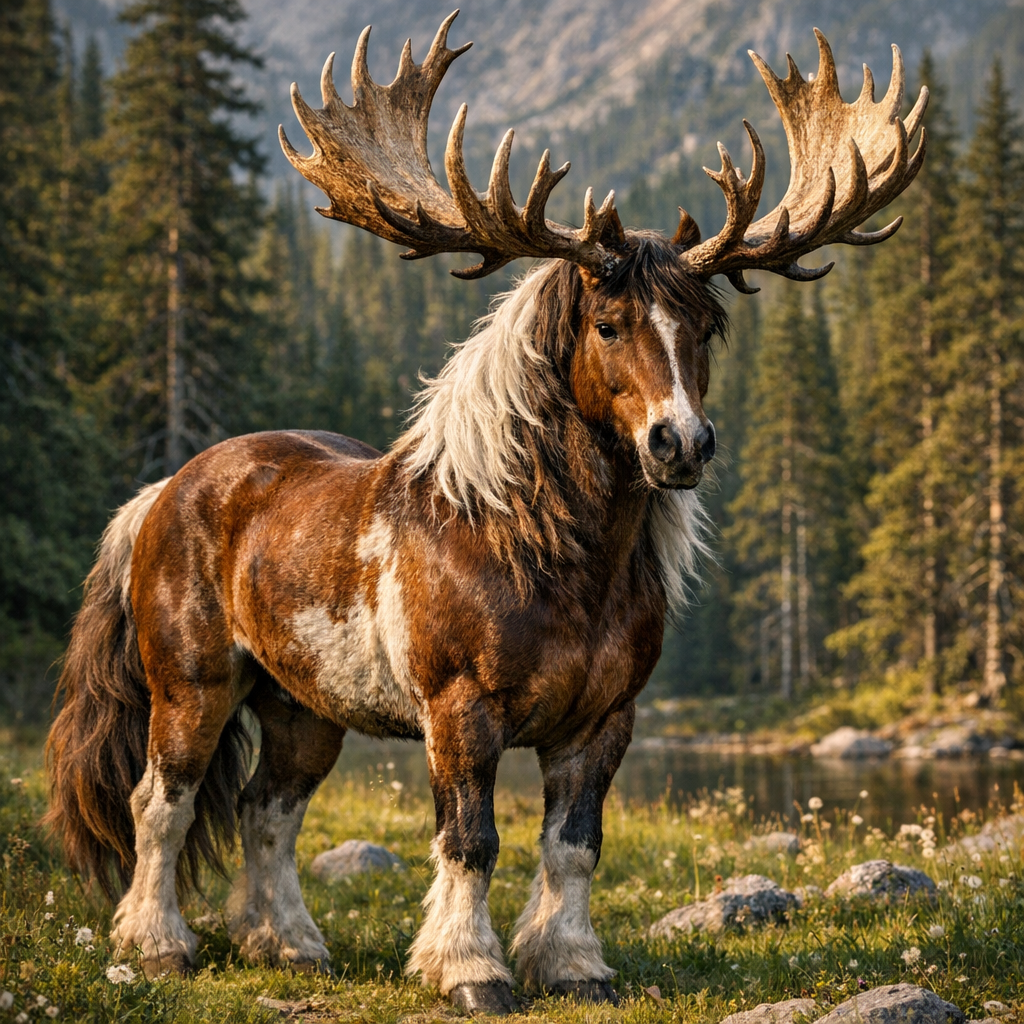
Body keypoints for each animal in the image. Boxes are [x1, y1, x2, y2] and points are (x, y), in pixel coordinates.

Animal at [46, 11, 926, 1015]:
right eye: (608, 324)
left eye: (707, 327)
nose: (681, 444)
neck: (551, 561)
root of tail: (158, 496)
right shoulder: (460, 708)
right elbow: (469, 841)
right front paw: (470, 969)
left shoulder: (604, 718)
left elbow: (574, 846)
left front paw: (574, 964)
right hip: (191, 681)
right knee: (164, 802)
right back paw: (158, 944)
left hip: (302, 704)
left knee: (268, 808)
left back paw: (291, 945)